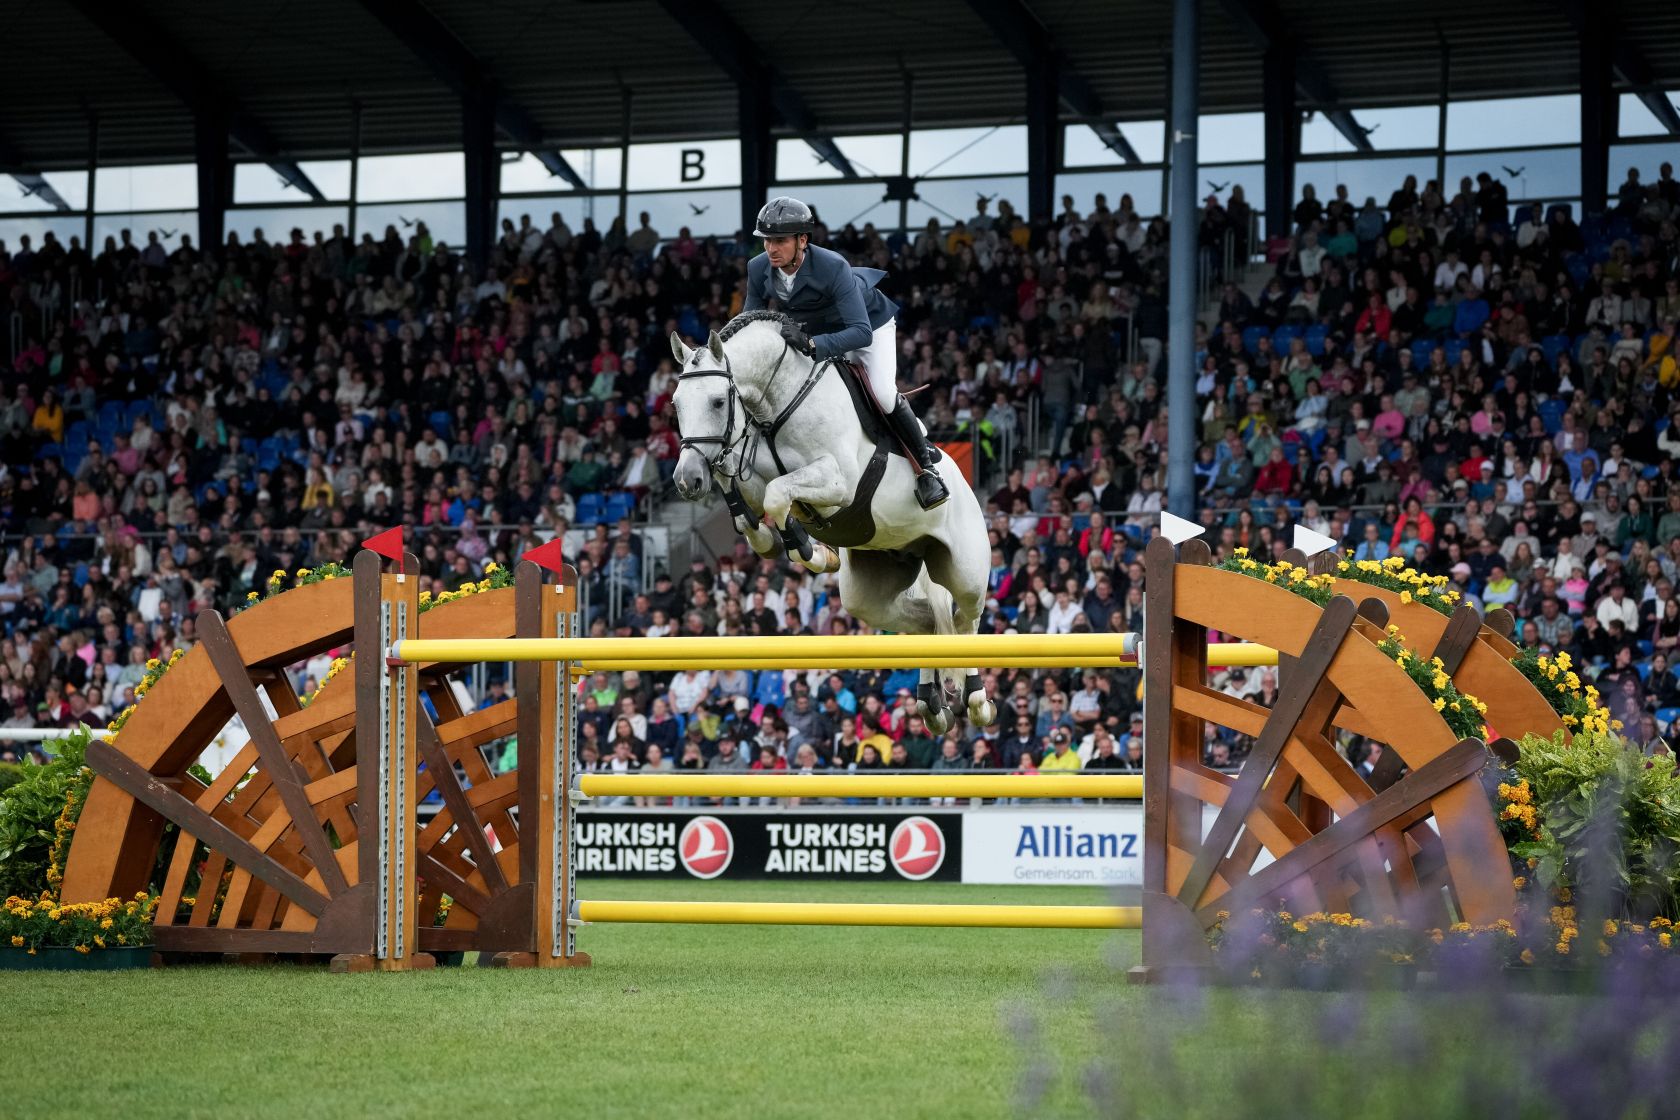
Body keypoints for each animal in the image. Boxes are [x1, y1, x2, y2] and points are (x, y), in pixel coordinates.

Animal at [668, 314, 994, 735]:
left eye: (717, 401)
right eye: (677, 404)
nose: (686, 480)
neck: (779, 402)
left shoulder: (840, 483)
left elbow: (776, 494)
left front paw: (809, 550)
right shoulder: (748, 470)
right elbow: (738, 483)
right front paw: (771, 540)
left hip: (965, 571)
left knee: (966, 619)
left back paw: (977, 700)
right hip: (870, 593)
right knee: (928, 624)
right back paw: (931, 706)